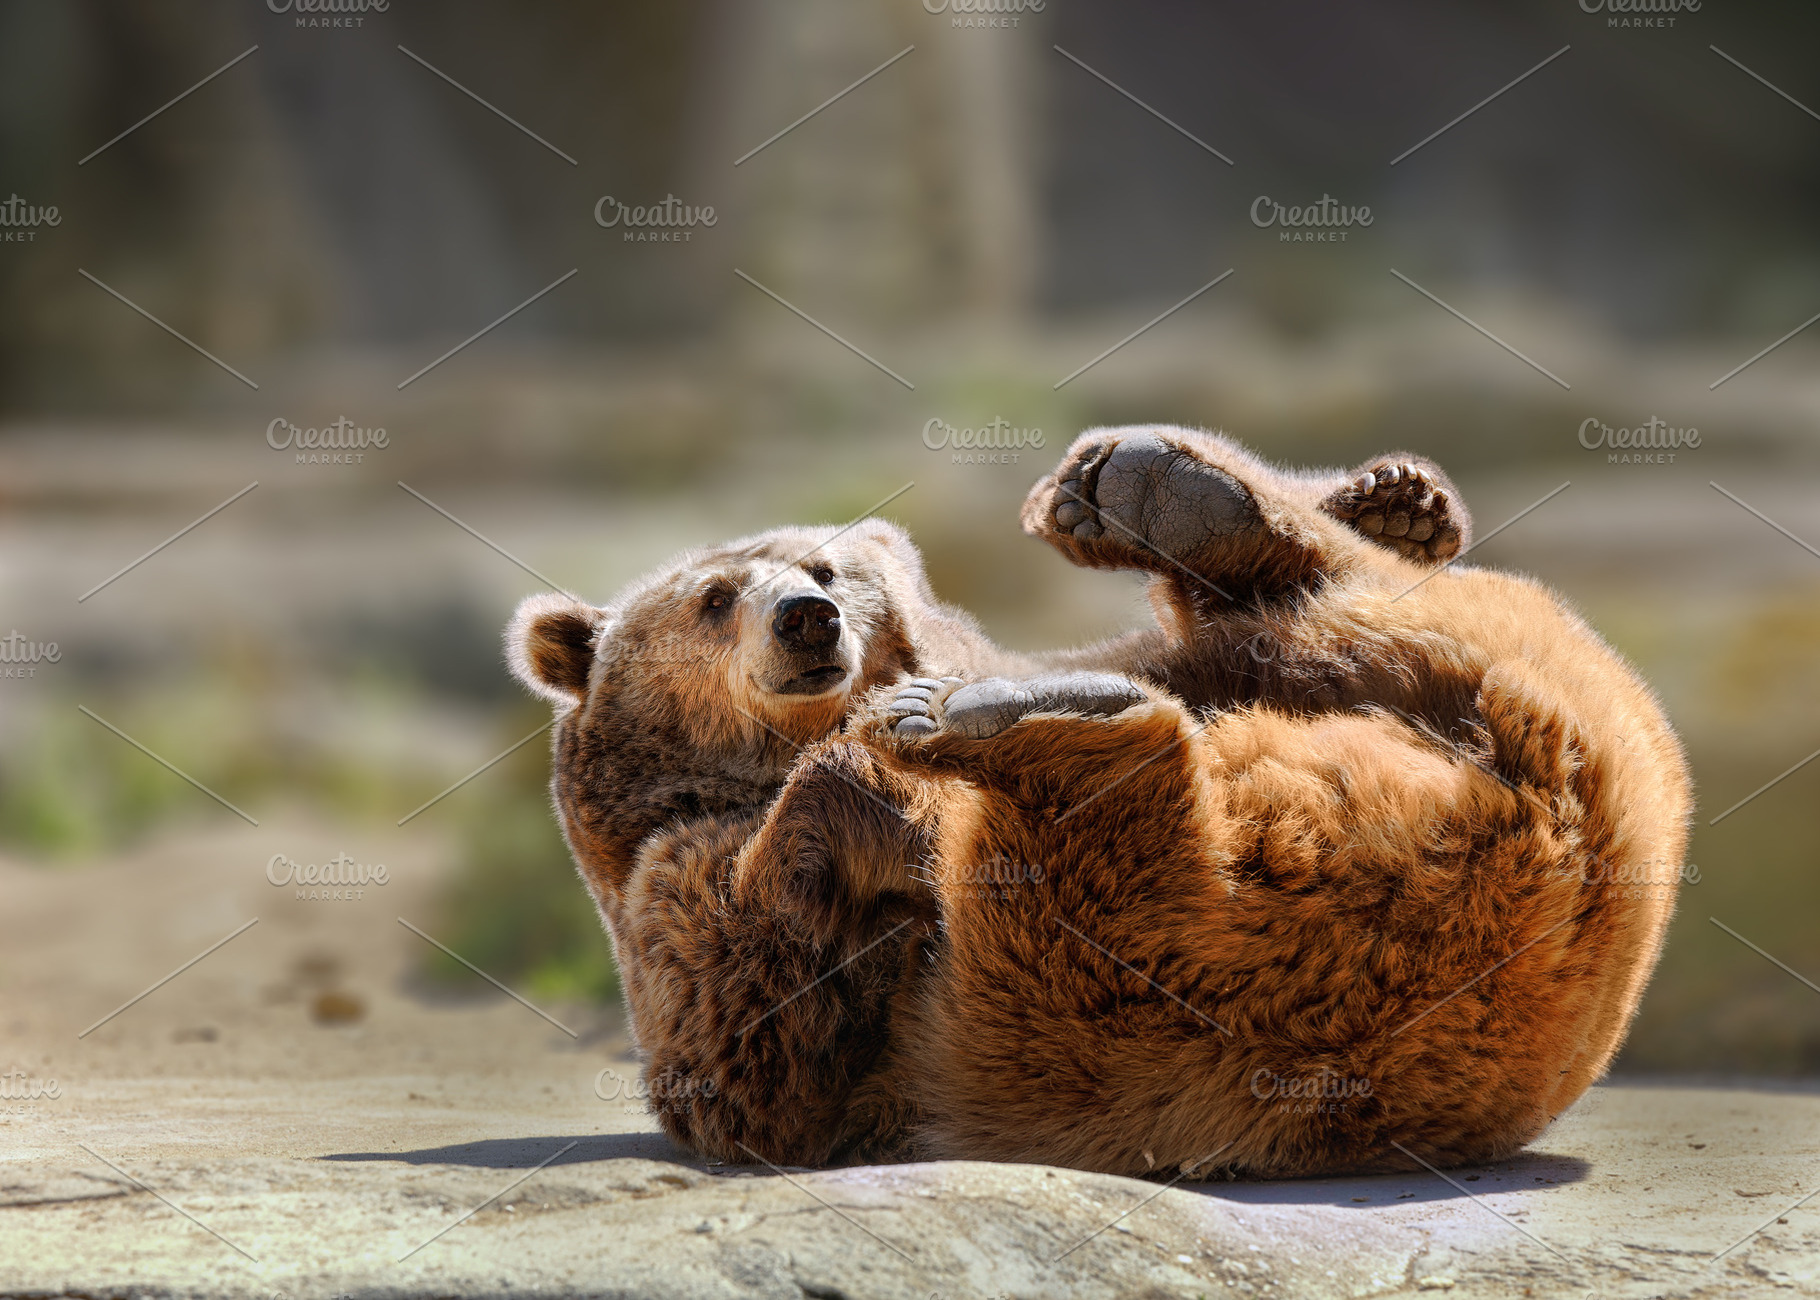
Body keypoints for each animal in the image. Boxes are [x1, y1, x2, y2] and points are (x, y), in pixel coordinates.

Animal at [507, 426, 1690, 1179]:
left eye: (827, 568)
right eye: (712, 597)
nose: (805, 617)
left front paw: (1402, 498)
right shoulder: (671, 882)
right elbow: (753, 1025)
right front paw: (878, 807)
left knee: (1312, 614)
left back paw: (1150, 499)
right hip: (1095, 1006)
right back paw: (1013, 716)